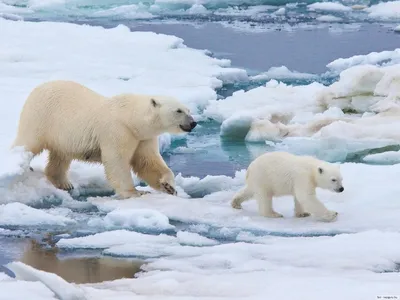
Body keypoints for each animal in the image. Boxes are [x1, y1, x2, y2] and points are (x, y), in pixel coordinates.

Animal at [10, 79, 195, 199]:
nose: (193, 123)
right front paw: (135, 192)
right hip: (41, 117)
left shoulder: (142, 138)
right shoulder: (118, 131)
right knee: (28, 142)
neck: (131, 118)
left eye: (188, 109)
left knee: (60, 156)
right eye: (179, 111)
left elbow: (148, 162)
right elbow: (117, 161)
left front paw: (169, 186)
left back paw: (64, 183)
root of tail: (37, 88)